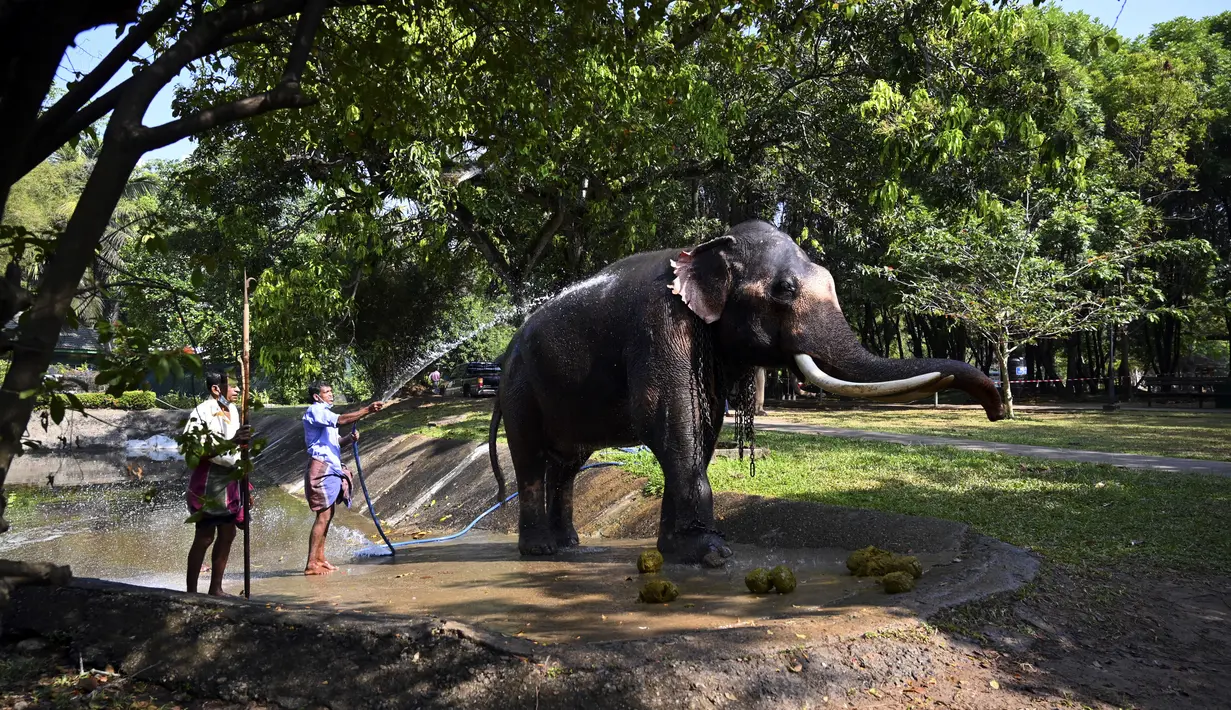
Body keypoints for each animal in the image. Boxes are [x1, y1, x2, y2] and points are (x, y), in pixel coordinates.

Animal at [489, 219, 999, 561]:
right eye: (785, 290)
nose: (996, 410)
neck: (702, 248)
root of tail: (506, 352)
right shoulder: (658, 324)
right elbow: (668, 418)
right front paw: (710, 555)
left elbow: (705, 421)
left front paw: (683, 550)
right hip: (519, 390)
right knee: (531, 458)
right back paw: (541, 552)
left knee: (568, 464)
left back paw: (569, 545)